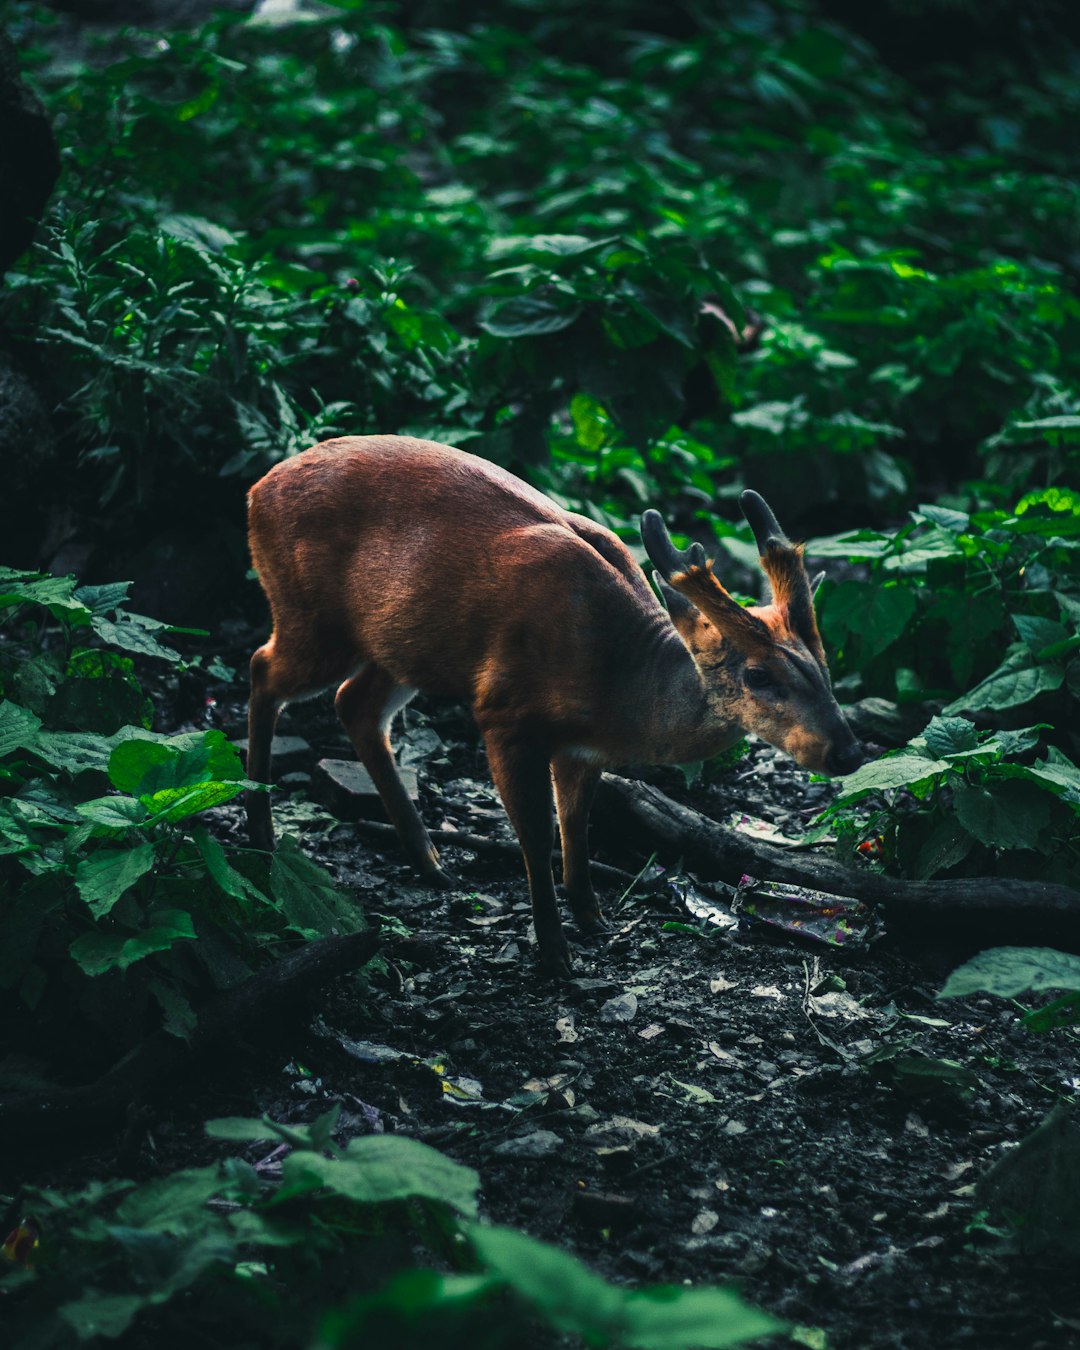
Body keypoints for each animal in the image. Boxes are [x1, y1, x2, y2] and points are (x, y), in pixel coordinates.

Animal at [244, 437, 858, 977]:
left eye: (825, 666)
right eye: (757, 675)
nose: (846, 752)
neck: (617, 685)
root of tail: (257, 490)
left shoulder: (580, 749)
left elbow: (576, 828)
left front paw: (594, 920)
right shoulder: (503, 713)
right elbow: (536, 835)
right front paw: (554, 955)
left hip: (399, 647)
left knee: (355, 705)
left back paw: (431, 863)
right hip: (313, 616)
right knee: (261, 667)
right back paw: (260, 837)